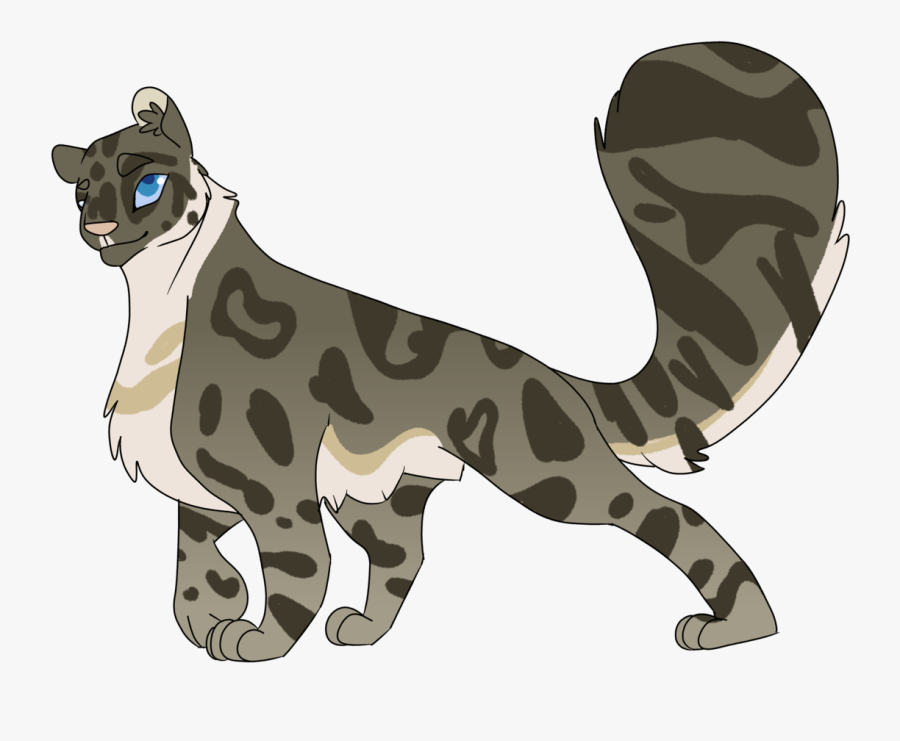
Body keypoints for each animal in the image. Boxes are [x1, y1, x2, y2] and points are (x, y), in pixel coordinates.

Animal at [51, 41, 848, 661]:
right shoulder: (201, 490)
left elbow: (298, 564)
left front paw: (258, 641)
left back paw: (741, 627)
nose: (97, 228)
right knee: (403, 553)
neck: (157, 309)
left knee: (671, 515)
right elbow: (191, 565)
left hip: (552, 475)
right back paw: (364, 630)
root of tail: (551, 374)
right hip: (380, 492)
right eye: (84, 191)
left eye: (146, 182)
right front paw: (208, 611)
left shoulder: (269, 483)